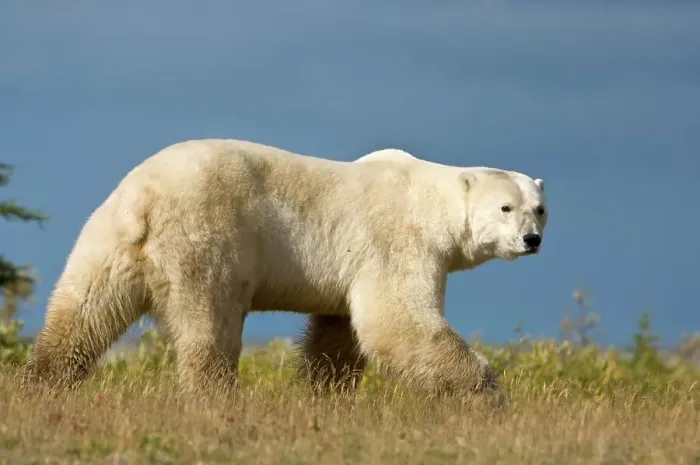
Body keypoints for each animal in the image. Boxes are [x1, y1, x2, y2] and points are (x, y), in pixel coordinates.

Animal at [23, 138, 548, 401]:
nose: (532, 240)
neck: (429, 198)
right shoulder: (397, 241)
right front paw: (486, 394)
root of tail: (143, 199)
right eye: (505, 207)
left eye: (539, 209)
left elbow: (339, 334)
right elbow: (396, 322)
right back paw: (216, 398)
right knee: (210, 326)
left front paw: (325, 397)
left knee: (83, 311)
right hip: (207, 237)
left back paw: (43, 381)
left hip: (108, 241)